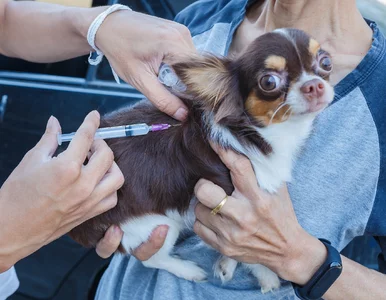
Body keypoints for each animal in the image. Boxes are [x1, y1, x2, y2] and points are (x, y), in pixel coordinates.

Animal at [68, 28, 334, 292]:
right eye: (269, 82)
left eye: (326, 62)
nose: (314, 85)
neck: (256, 133)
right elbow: (251, 253)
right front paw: (267, 276)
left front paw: (227, 264)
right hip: (153, 224)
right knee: (152, 259)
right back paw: (189, 270)